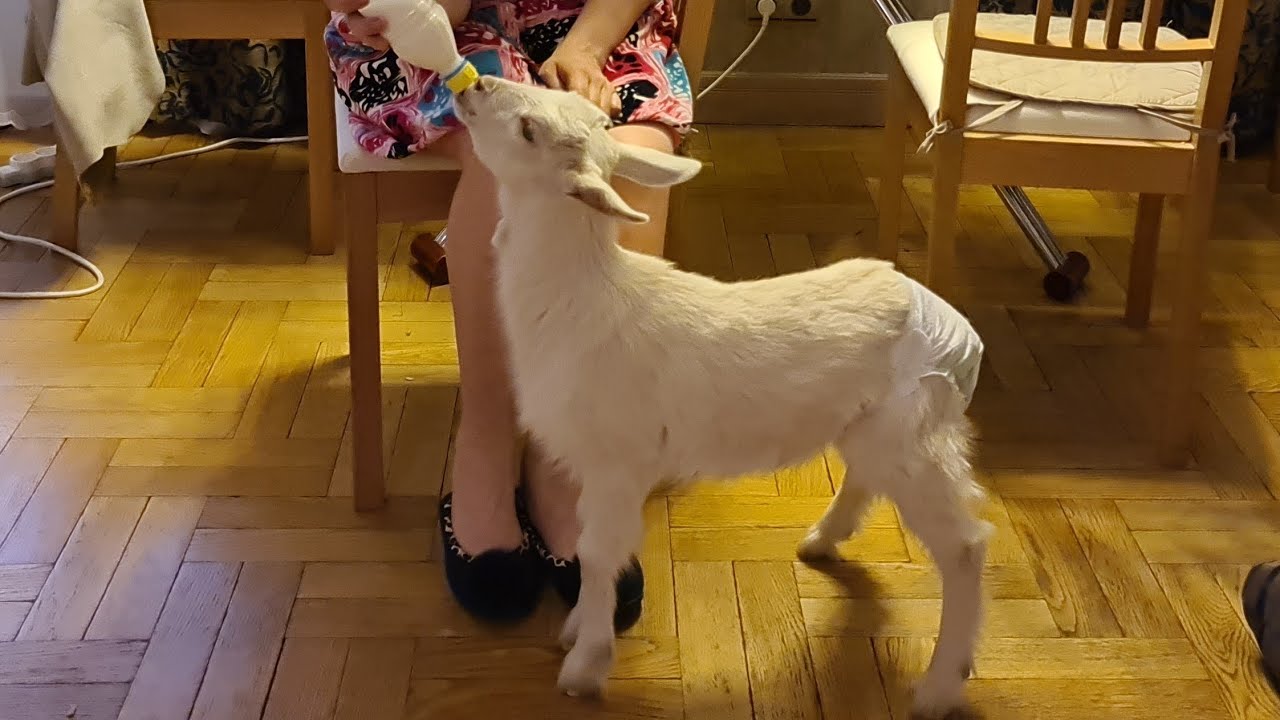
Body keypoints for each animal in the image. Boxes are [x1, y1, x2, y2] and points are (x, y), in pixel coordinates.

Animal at [453, 75, 991, 718]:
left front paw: (584, 667)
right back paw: (821, 543)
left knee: (965, 546)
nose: (474, 86)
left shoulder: (617, 462)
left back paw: (938, 689)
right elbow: (588, 548)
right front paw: (577, 630)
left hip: (916, 438)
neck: (583, 293)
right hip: (873, 427)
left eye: (529, 130)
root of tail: (961, 337)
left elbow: (601, 553)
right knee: (867, 479)